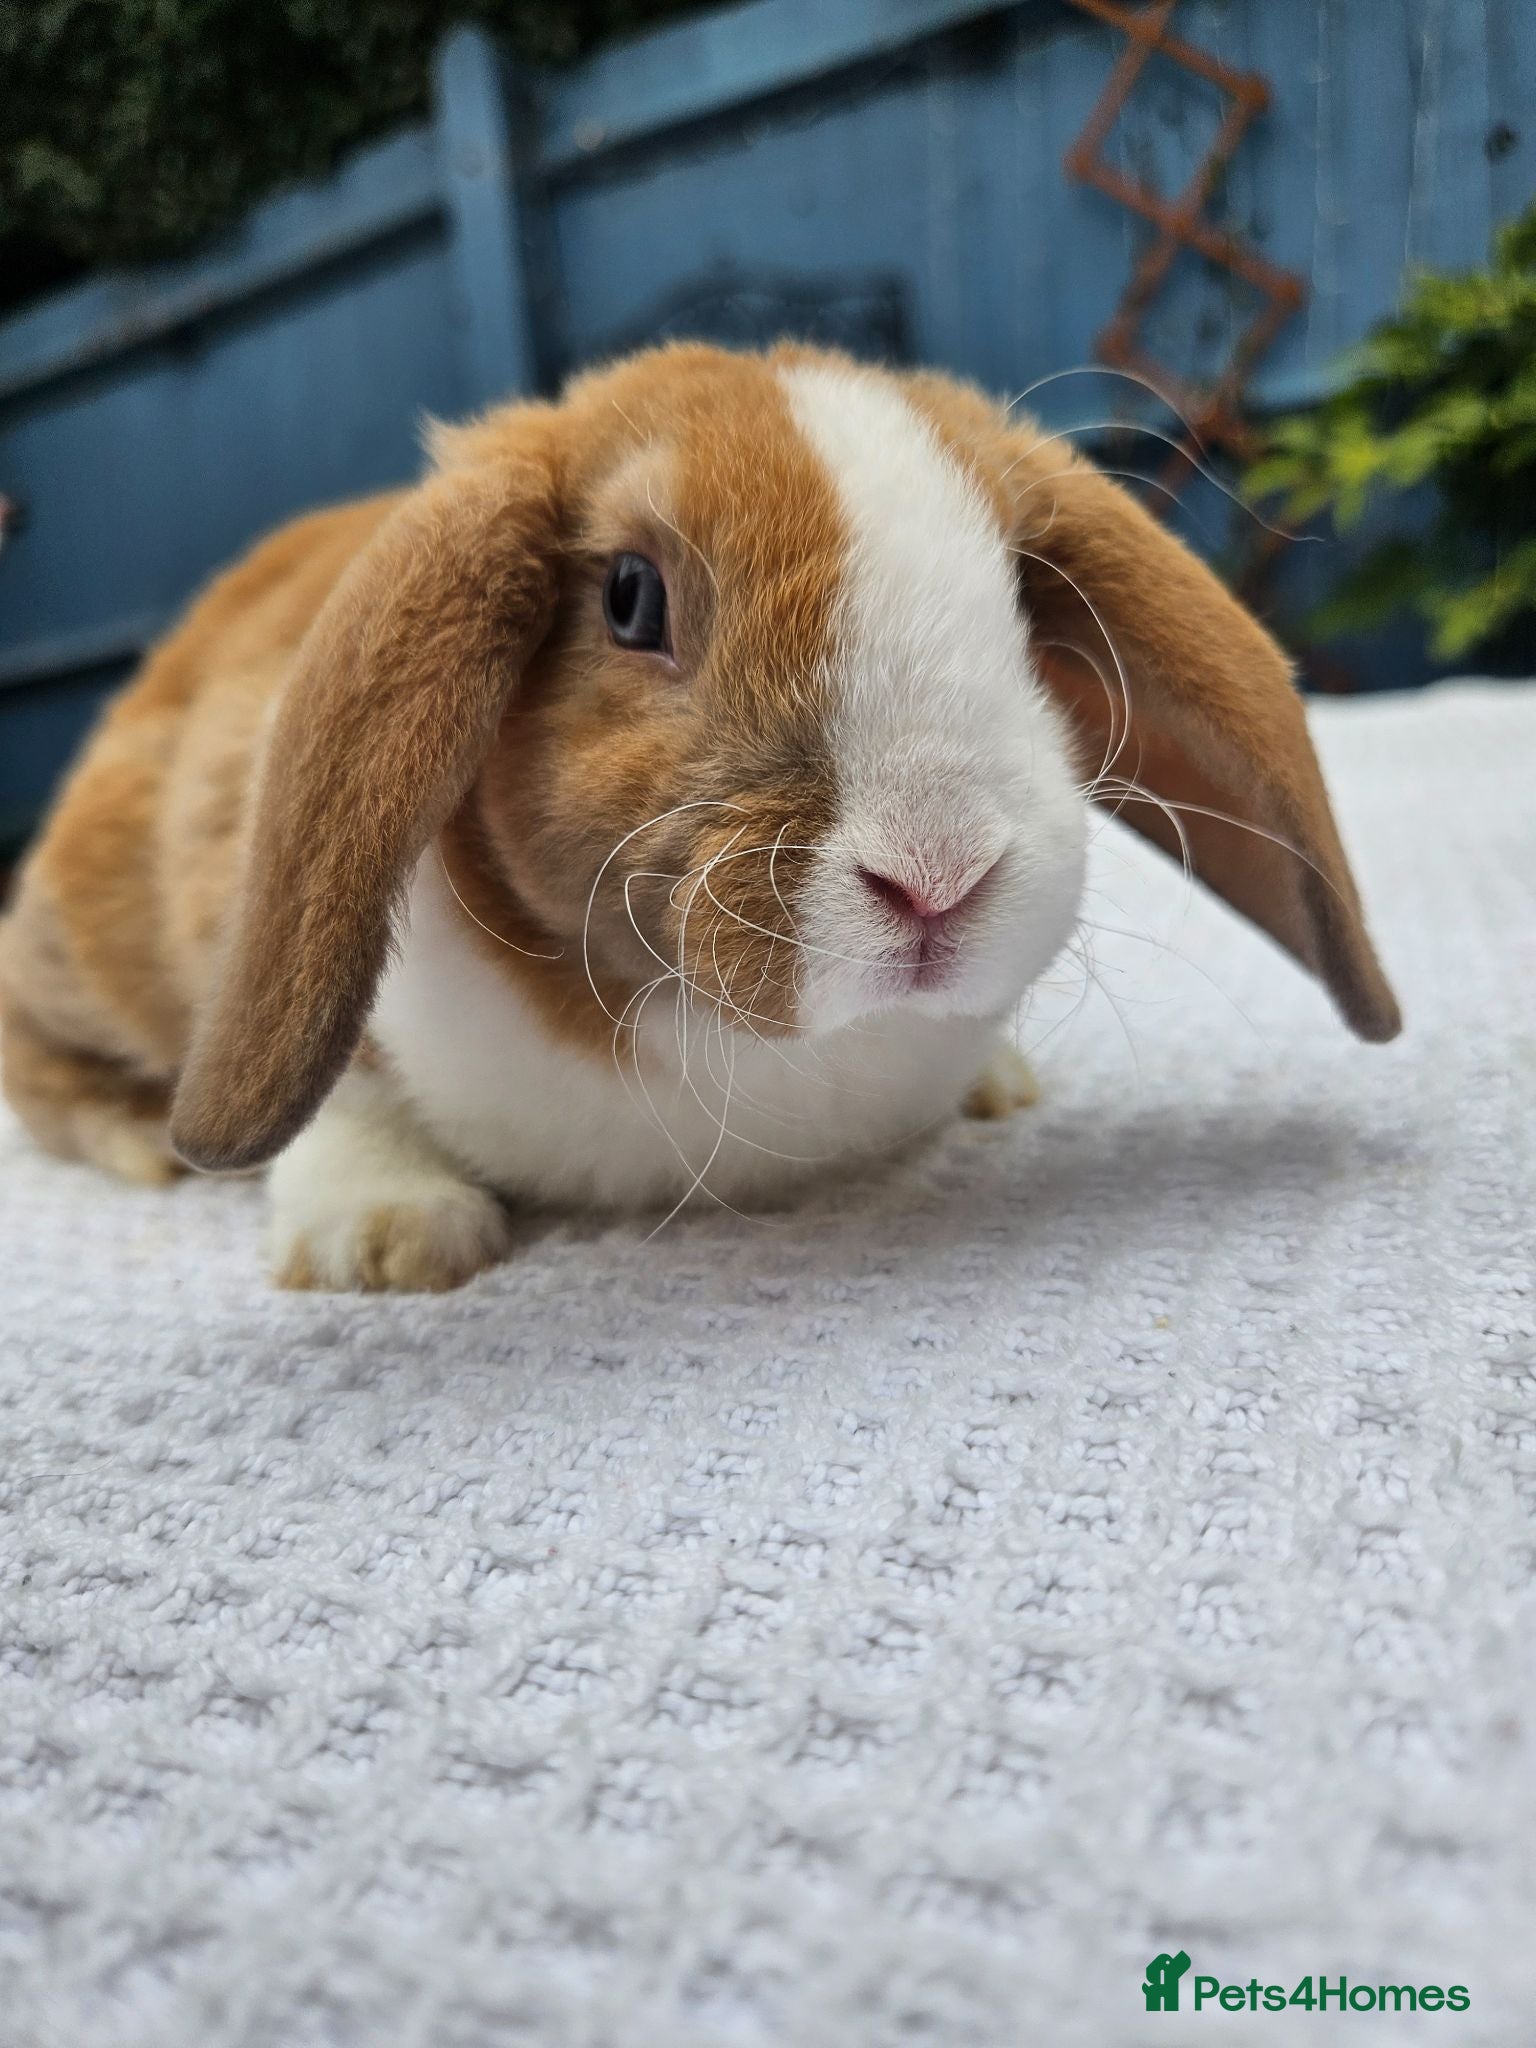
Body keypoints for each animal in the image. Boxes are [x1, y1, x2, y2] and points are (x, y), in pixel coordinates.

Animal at [0, 342, 1400, 1291]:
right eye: (631, 597)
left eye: (1017, 598)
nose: (938, 875)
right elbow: (348, 1084)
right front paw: (388, 1241)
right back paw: (142, 1142)